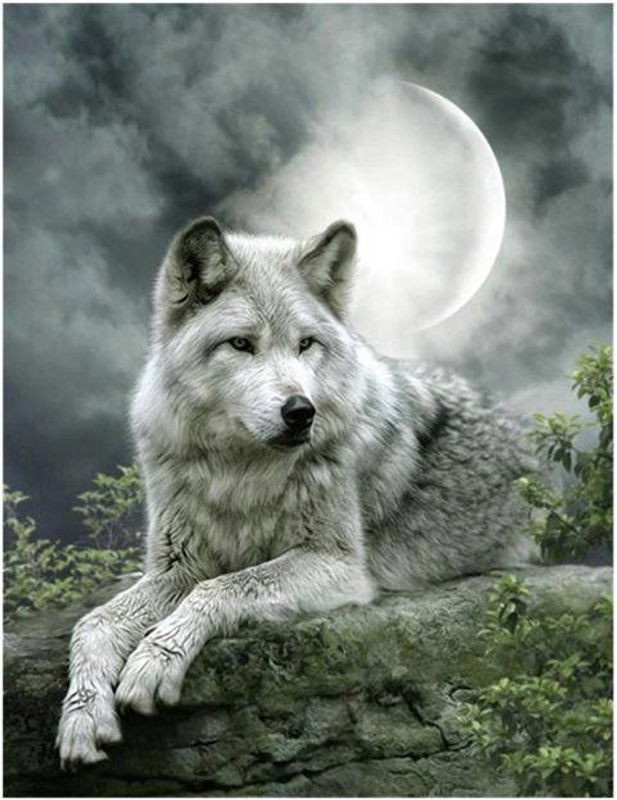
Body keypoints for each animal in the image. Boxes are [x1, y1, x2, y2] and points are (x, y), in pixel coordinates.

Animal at [56, 216, 539, 768]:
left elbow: (222, 588)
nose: (301, 411)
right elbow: (93, 623)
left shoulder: (338, 565)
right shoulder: (177, 566)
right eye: (241, 344)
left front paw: (154, 660)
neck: (240, 472)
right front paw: (82, 717)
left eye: (306, 344)